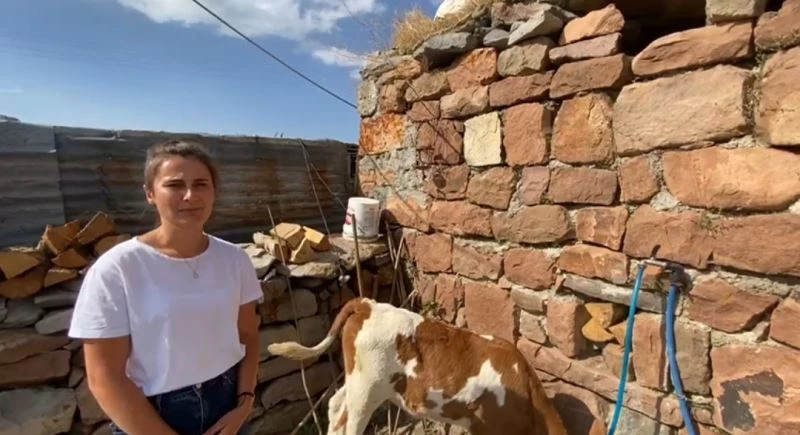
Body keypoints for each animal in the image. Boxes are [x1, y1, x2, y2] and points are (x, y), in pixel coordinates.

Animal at [267, 297, 569, 435]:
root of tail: (367, 304)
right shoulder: (490, 428)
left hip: (356, 380)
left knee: (335, 404)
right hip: (367, 388)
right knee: (349, 422)